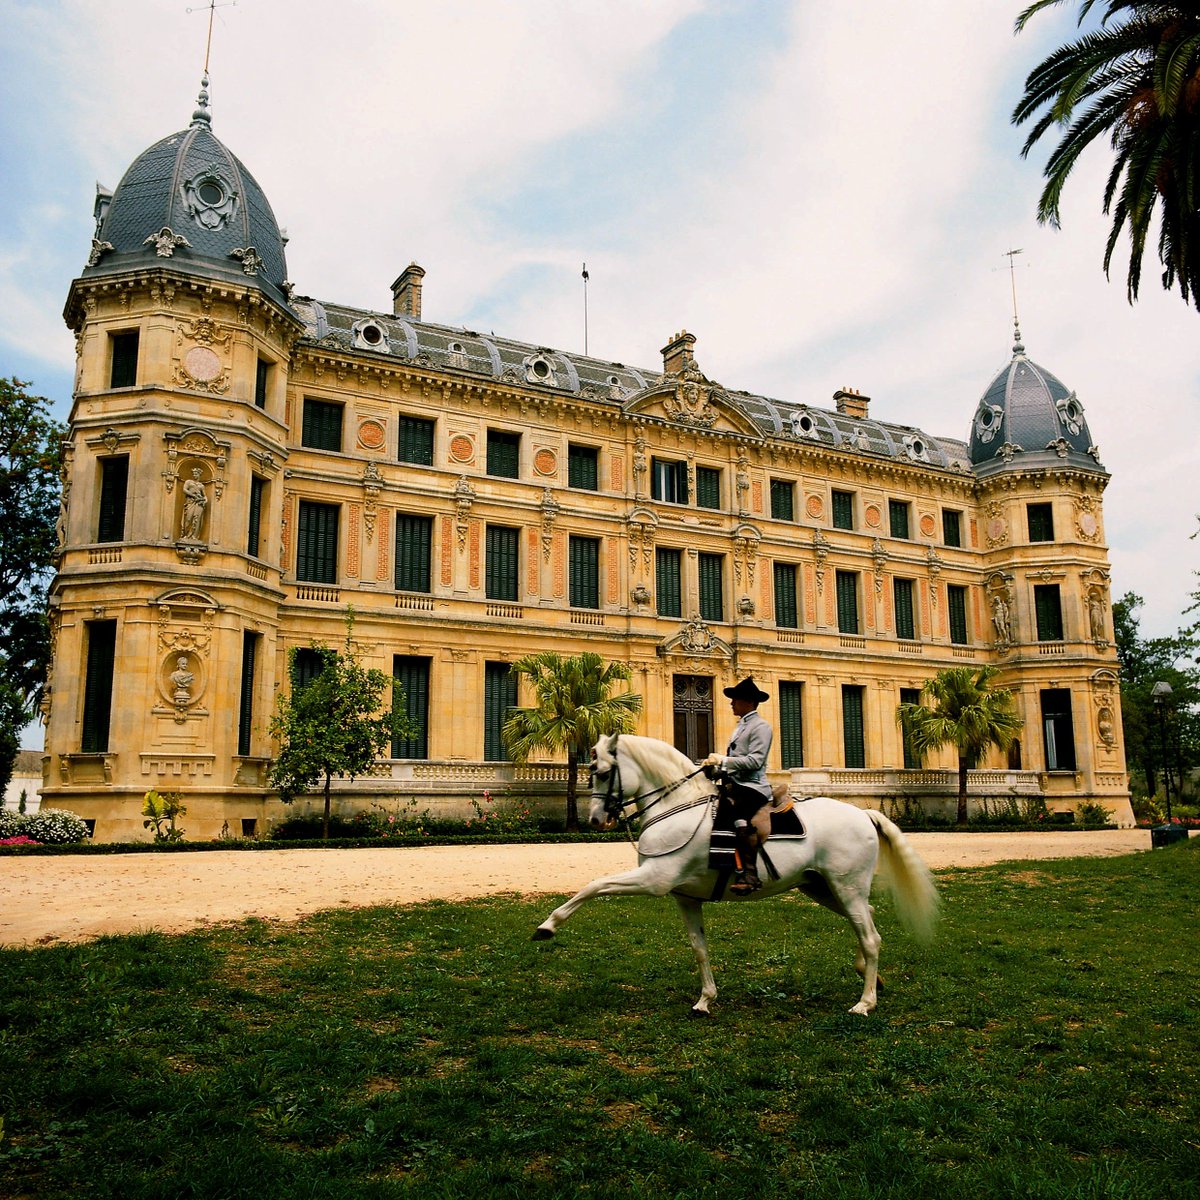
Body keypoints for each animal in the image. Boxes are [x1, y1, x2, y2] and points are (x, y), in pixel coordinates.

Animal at [532, 733, 939, 1017]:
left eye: (601, 773)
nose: (596, 820)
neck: (676, 807)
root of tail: (863, 813)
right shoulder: (685, 897)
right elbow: (699, 948)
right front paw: (705, 1000)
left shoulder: (653, 880)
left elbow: (594, 885)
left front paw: (548, 926)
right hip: (824, 889)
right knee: (868, 924)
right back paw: (870, 978)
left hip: (846, 888)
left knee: (870, 937)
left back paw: (864, 1003)